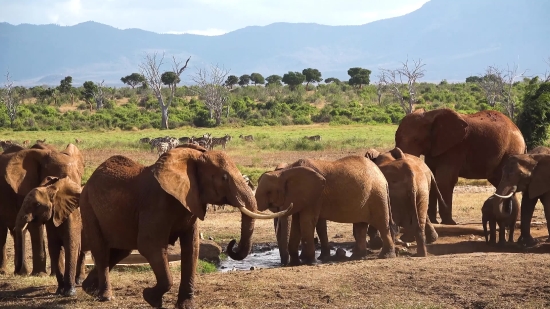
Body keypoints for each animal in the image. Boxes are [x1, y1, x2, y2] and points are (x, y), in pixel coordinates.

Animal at [0, 142, 84, 274]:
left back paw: (21, 272)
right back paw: (5, 271)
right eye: (56, 179)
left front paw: (53, 274)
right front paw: (40, 274)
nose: (18, 271)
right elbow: (36, 225)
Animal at [79, 144, 292, 308]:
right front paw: (150, 298)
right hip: (87, 206)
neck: (193, 158)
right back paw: (106, 296)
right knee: (101, 249)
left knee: (119, 251)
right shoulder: (156, 204)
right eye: (224, 178)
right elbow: (150, 245)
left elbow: (191, 248)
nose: (232, 244)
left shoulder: (191, 202)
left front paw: (186, 305)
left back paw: (89, 290)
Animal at [256, 155, 398, 266]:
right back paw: (357, 256)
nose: (283, 264)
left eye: (269, 192)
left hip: (377, 195)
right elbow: (296, 223)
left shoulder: (316, 196)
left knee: (382, 224)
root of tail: (383, 177)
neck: (285, 172)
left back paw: (386, 256)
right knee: (361, 226)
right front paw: (295, 263)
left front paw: (310, 262)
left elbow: (306, 222)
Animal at [396, 108, 528, 224]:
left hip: (511, 150)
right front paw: (434, 221)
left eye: (416, 139)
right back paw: (513, 219)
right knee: (501, 182)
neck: (430, 114)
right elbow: (432, 178)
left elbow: (444, 180)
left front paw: (449, 223)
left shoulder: (455, 148)